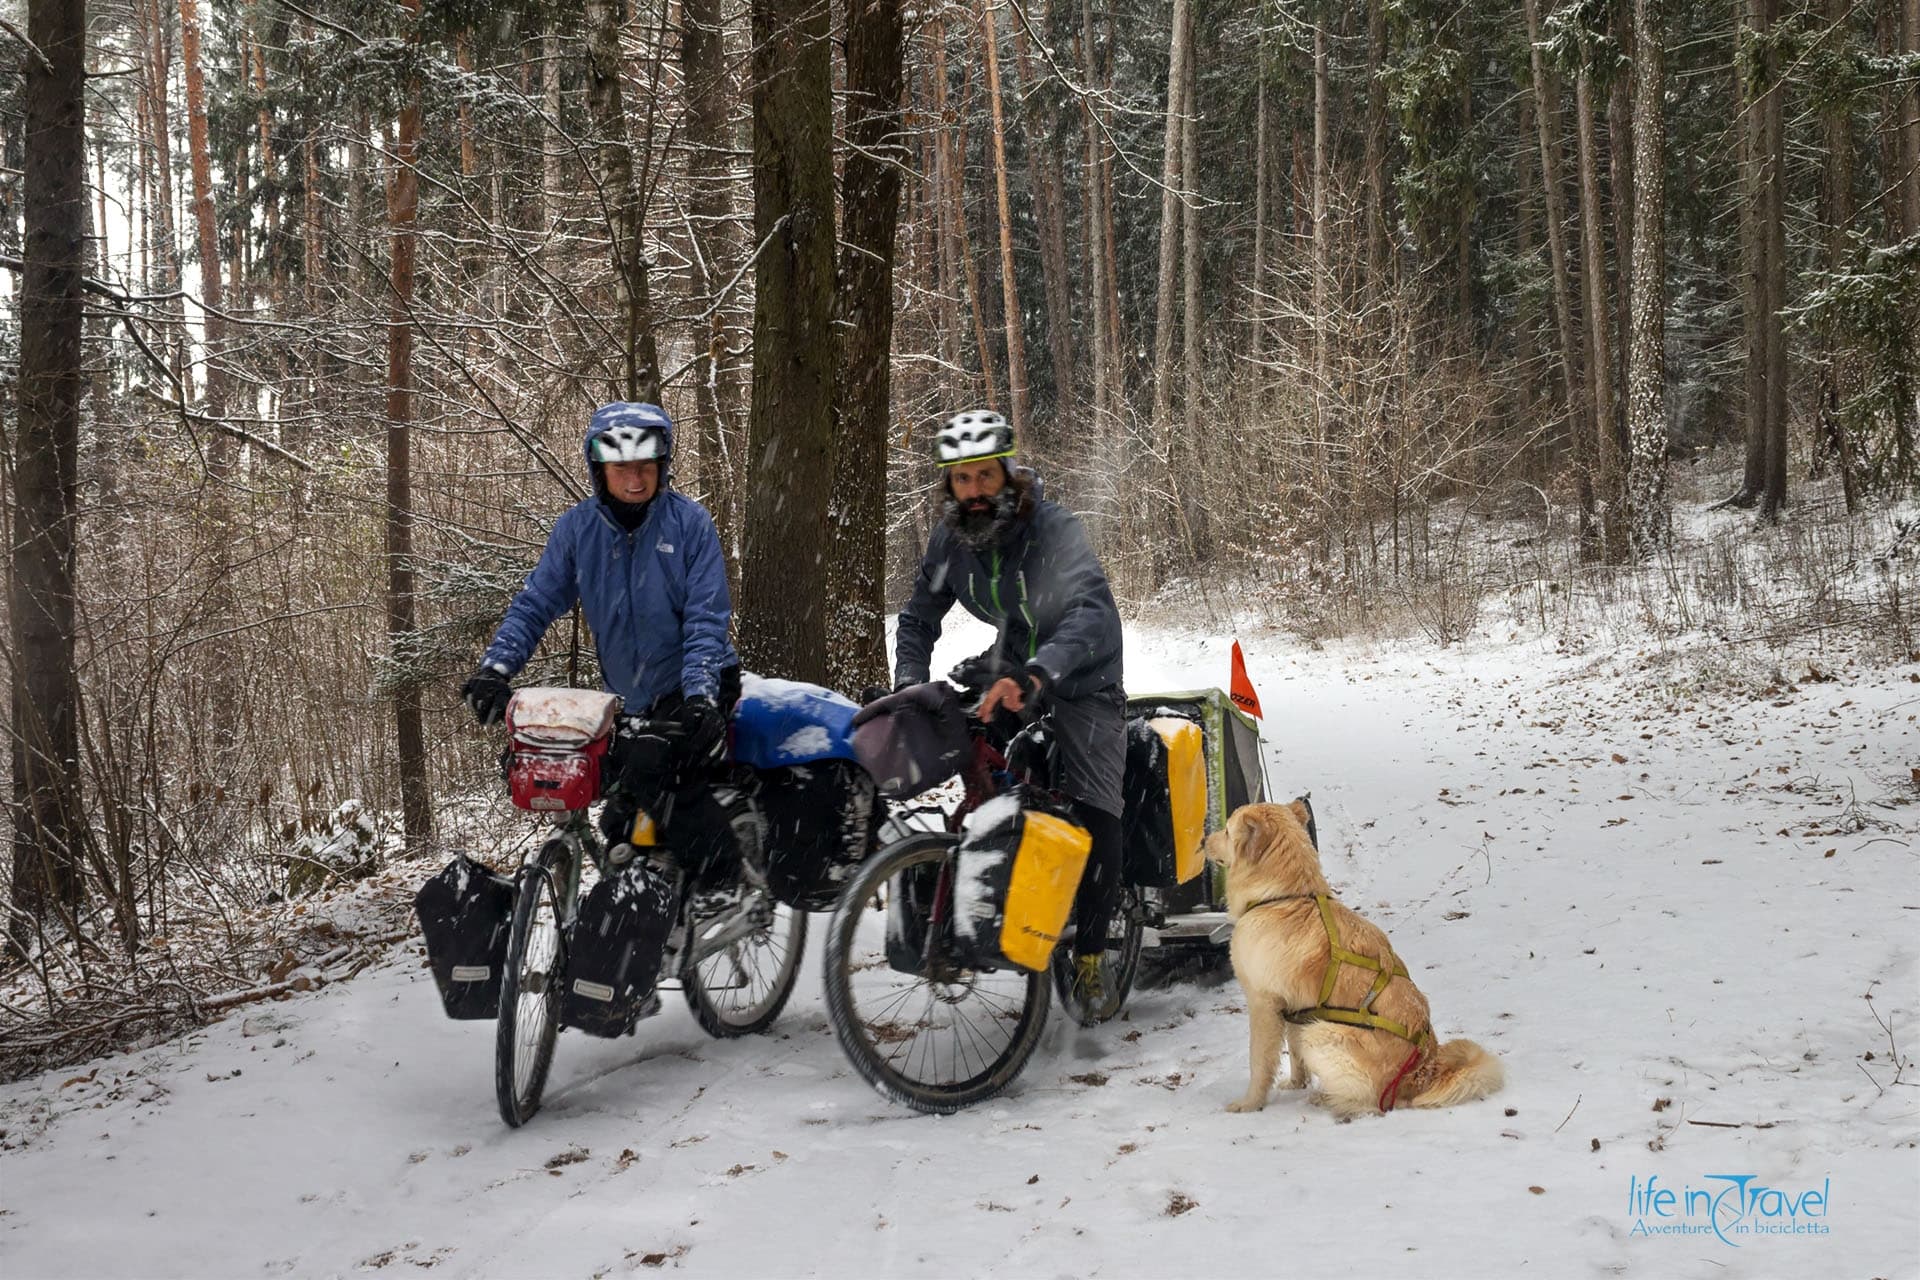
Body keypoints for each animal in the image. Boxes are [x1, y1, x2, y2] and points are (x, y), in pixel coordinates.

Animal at [1205, 805, 1505, 1113]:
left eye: (1226, 830)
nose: (1204, 840)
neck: (1284, 896)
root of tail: (1421, 1073)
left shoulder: (1263, 1004)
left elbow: (1259, 1062)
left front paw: (1249, 1104)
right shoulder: (1294, 1005)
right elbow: (1294, 1054)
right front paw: (1296, 1083)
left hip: (1320, 1034)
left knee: (1369, 1101)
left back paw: (1327, 1099)